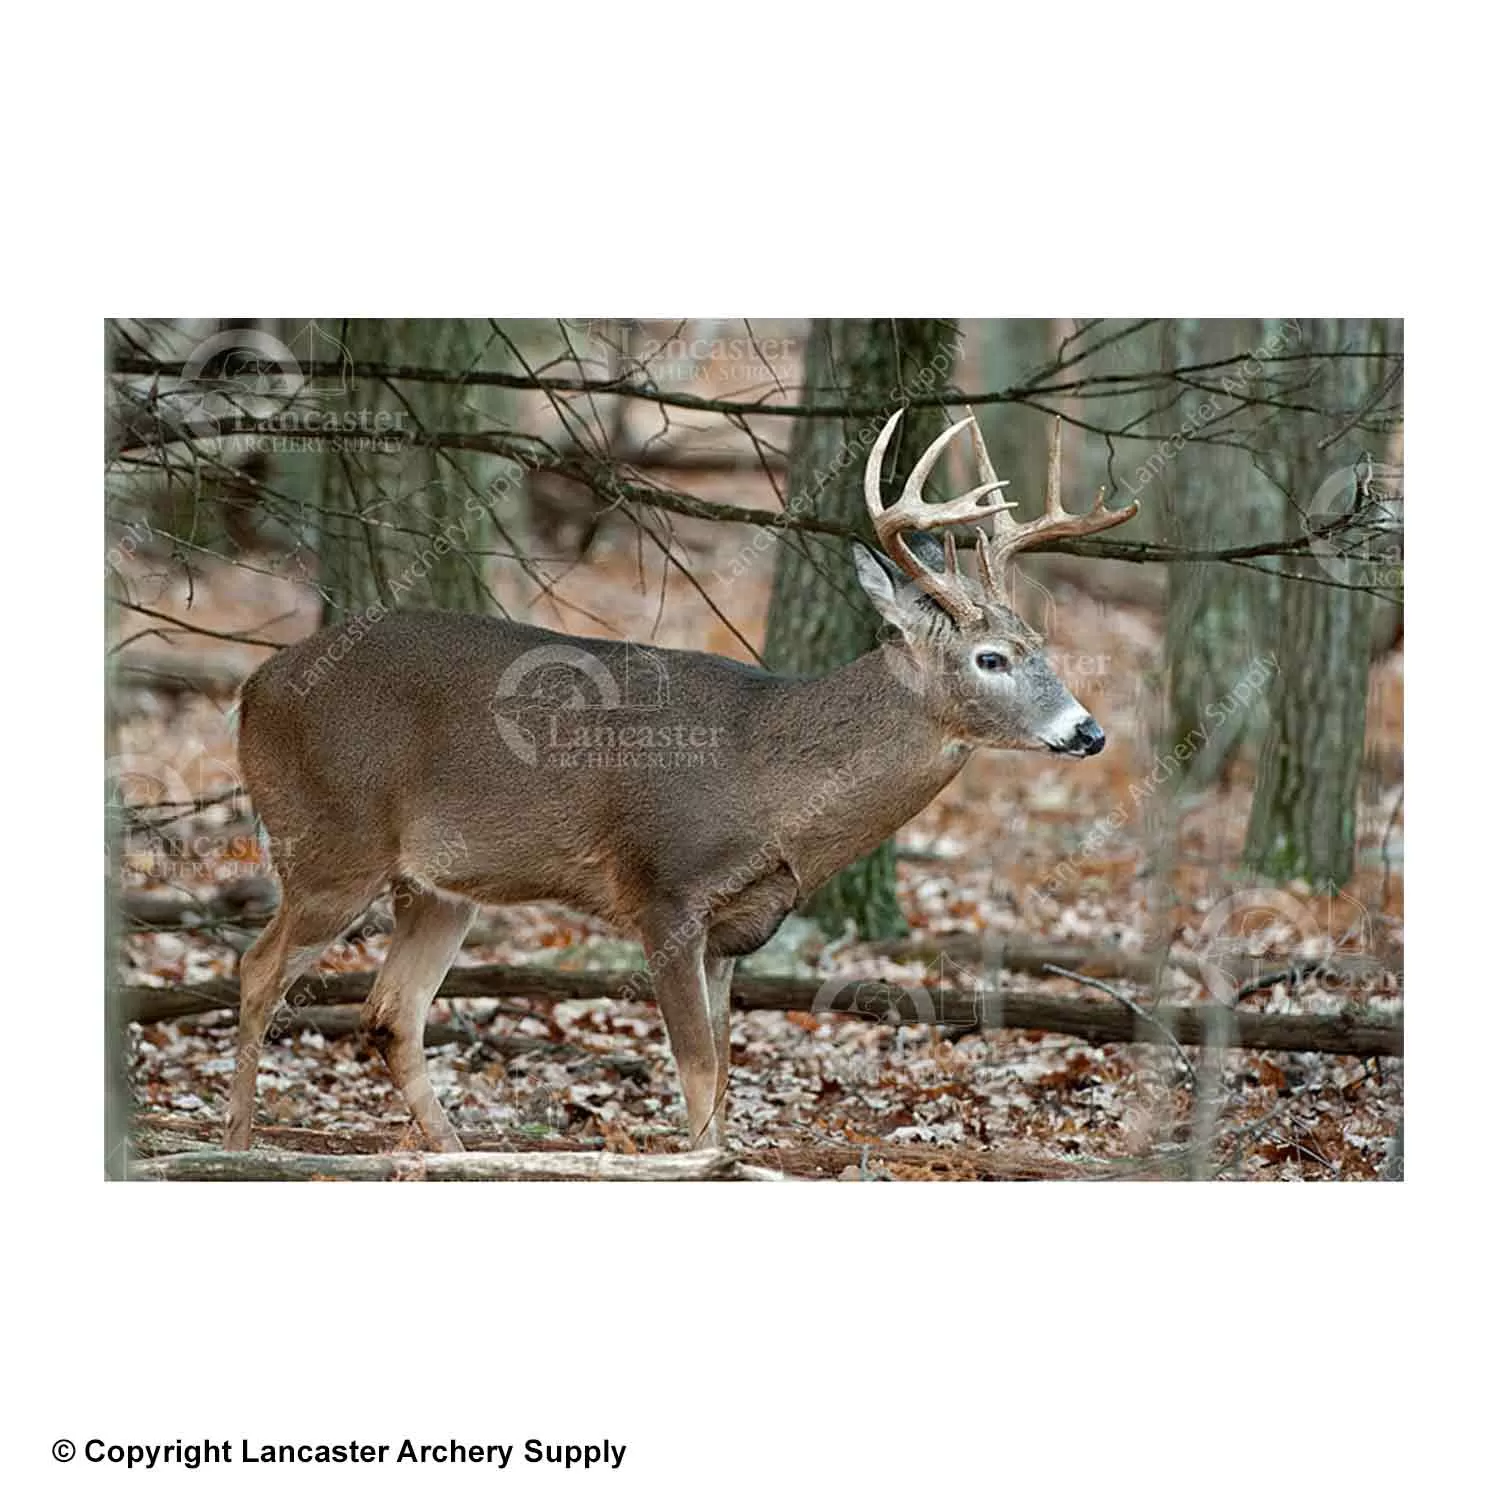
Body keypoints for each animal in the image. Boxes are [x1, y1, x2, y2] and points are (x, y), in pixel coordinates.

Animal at [222, 408, 1138, 1154]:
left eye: (1042, 646)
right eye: (992, 658)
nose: (1088, 732)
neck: (771, 786)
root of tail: (251, 688)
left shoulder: (735, 928)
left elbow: (726, 1073)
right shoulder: (663, 889)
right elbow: (697, 1071)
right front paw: (703, 1164)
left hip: (439, 885)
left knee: (391, 1011)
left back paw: (453, 1154)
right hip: (331, 842)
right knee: (260, 970)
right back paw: (240, 1141)